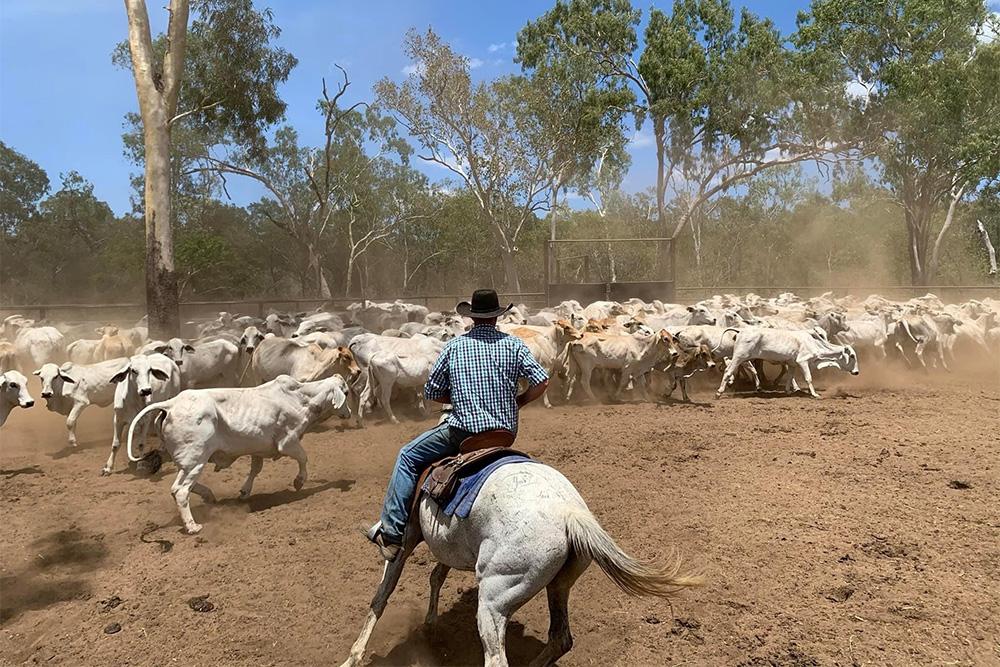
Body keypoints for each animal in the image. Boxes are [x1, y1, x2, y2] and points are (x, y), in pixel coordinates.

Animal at [126, 378, 352, 536]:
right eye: (347, 393)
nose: (349, 413)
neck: (300, 398)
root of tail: (171, 404)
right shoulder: (288, 442)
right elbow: (303, 458)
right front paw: (299, 482)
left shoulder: (258, 448)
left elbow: (256, 469)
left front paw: (244, 492)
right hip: (195, 459)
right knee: (180, 491)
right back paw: (193, 527)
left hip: (190, 462)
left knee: (181, 486)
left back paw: (209, 496)